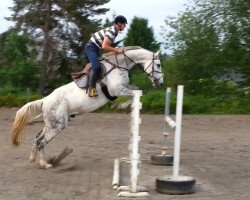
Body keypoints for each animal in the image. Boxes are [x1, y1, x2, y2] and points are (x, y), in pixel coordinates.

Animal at [11, 45, 164, 169]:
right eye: (158, 65)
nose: (160, 84)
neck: (119, 65)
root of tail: (45, 100)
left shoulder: (125, 87)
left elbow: (137, 90)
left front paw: (124, 106)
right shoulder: (116, 90)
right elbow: (136, 93)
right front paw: (121, 106)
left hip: (51, 123)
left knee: (38, 138)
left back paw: (33, 159)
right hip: (57, 125)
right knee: (42, 141)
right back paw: (45, 164)